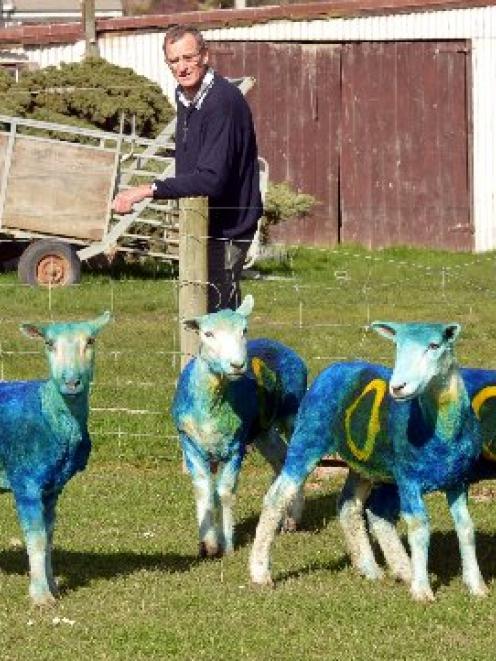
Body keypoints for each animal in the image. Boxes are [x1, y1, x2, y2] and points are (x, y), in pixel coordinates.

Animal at [0, 312, 110, 604]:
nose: (71, 382)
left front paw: (53, 587)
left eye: (90, 341)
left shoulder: (52, 486)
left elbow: (49, 538)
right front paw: (41, 597)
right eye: (49, 344)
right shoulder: (25, 481)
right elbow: (36, 539)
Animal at [172, 294, 308, 556]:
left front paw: (227, 545)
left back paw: (294, 516)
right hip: (263, 431)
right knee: (280, 457)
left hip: (292, 413)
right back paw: (282, 517)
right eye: (208, 334)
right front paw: (208, 544)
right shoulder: (190, 443)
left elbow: (225, 492)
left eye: (244, 330)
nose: (237, 365)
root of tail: (279, 344)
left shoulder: (236, 447)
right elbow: (203, 488)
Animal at [250, 322, 486, 600]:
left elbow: (466, 528)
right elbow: (419, 528)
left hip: (363, 465)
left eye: (434, 345)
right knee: (277, 498)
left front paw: (477, 586)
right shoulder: (409, 480)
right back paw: (259, 572)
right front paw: (422, 591)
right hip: (308, 439)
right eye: (397, 346)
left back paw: (373, 568)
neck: (439, 430)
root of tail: (334, 368)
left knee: (349, 506)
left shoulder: (459, 481)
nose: (397, 387)